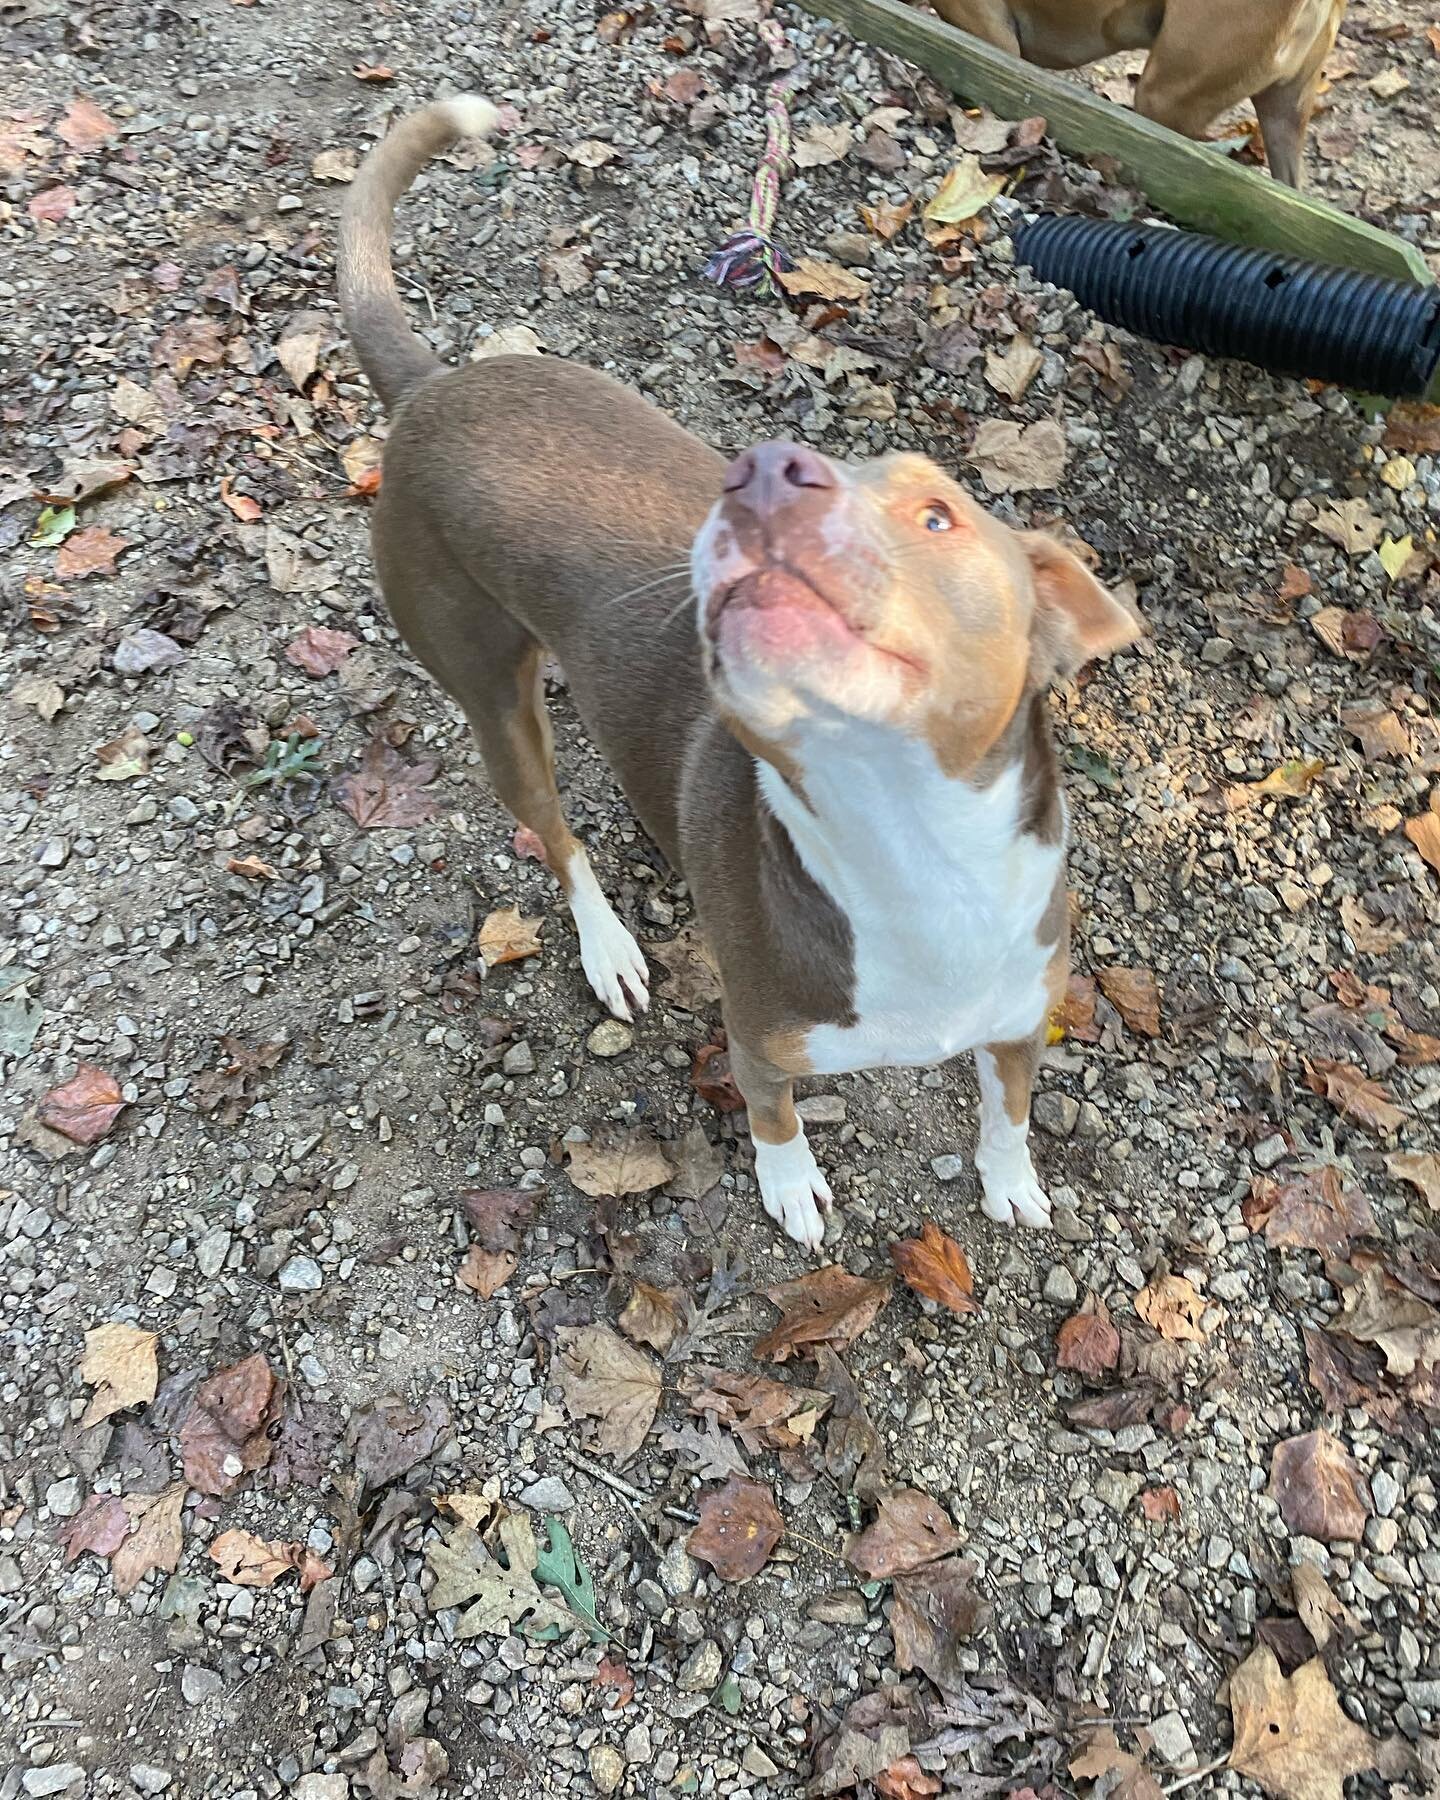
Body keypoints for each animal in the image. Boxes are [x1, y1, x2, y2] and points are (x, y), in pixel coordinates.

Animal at [338, 98, 1137, 1252]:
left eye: (938, 513)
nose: (760, 471)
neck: (915, 859)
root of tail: (438, 384)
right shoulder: (760, 1044)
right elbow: (772, 1117)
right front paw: (791, 1186)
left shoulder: (1023, 1021)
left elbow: (1010, 1111)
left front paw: (1011, 1180)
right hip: (488, 692)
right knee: (555, 835)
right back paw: (610, 948)